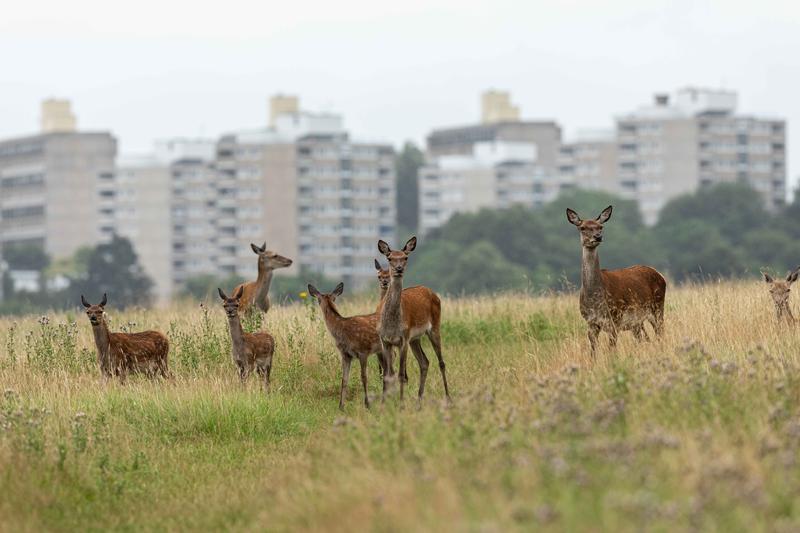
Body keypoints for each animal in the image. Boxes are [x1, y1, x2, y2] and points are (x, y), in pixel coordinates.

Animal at [306, 280, 384, 410]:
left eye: (318, 300)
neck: (341, 330)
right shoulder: (345, 354)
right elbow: (344, 379)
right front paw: (341, 406)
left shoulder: (363, 350)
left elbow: (364, 377)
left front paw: (367, 404)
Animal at [376, 235, 450, 402]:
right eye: (389, 257)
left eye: (405, 257)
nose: (399, 269)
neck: (391, 325)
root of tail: (432, 292)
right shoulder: (385, 341)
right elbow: (387, 374)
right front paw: (384, 403)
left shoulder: (403, 339)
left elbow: (401, 375)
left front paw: (401, 402)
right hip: (415, 339)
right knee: (425, 362)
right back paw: (419, 400)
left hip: (434, 327)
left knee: (441, 362)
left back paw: (448, 398)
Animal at [564, 206, 664, 356]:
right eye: (582, 227)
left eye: (600, 226)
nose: (598, 236)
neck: (595, 301)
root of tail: (659, 274)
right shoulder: (591, 323)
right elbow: (593, 352)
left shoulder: (615, 320)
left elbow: (612, 351)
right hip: (637, 323)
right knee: (645, 339)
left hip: (658, 308)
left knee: (660, 334)